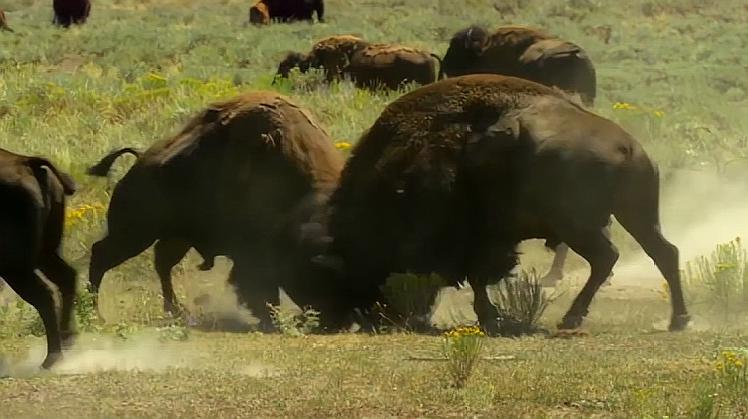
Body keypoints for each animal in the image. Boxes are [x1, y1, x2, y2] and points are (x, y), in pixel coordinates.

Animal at [0, 147, 79, 368]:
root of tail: (26, 161)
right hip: (45, 252)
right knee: (66, 277)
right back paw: (67, 339)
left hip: (16, 267)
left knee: (43, 296)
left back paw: (52, 358)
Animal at [87, 92, 344, 332]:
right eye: (317, 273)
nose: (335, 321)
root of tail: (139, 161)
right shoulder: (252, 253)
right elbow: (260, 289)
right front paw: (271, 322)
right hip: (135, 234)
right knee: (102, 254)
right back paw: (95, 314)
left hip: (175, 238)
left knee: (162, 263)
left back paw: (177, 311)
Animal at [322, 75, 688, 336]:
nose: (365, 316)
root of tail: (628, 147)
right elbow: (477, 277)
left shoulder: (478, 238)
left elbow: (476, 277)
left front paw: (490, 317)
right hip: (635, 214)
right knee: (663, 252)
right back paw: (678, 320)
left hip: (582, 224)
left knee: (607, 257)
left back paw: (571, 319)